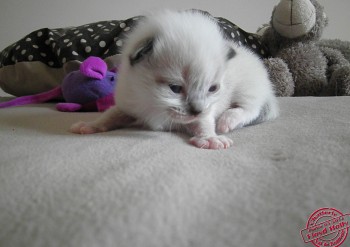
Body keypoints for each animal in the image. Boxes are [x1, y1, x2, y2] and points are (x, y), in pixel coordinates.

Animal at [71, 10, 278, 150]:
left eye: (212, 89)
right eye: (175, 88)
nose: (197, 110)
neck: (152, 101)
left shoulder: (206, 110)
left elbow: (204, 122)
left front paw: (210, 138)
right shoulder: (128, 103)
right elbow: (111, 115)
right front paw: (91, 125)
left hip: (248, 88)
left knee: (251, 109)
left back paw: (227, 120)